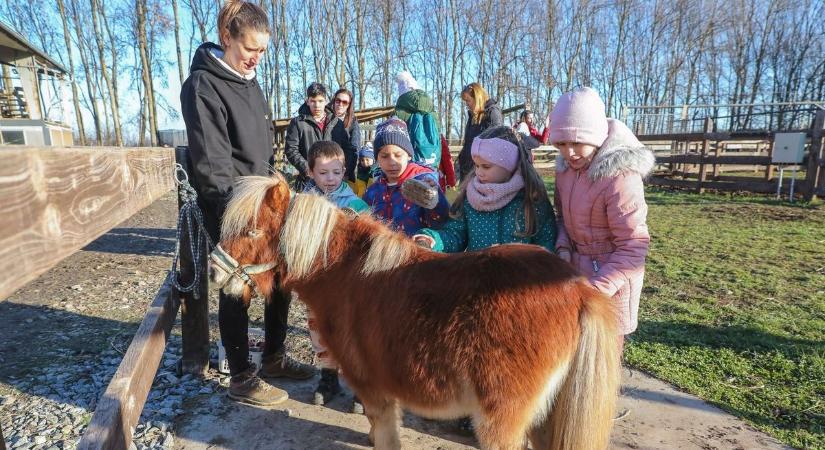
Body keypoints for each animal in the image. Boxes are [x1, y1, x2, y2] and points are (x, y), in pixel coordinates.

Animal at [206, 173, 616, 450]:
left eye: (253, 232)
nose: (213, 272)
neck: (342, 271)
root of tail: (579, 289)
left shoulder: (373, 387)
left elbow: (386, 433)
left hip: (503, 419)